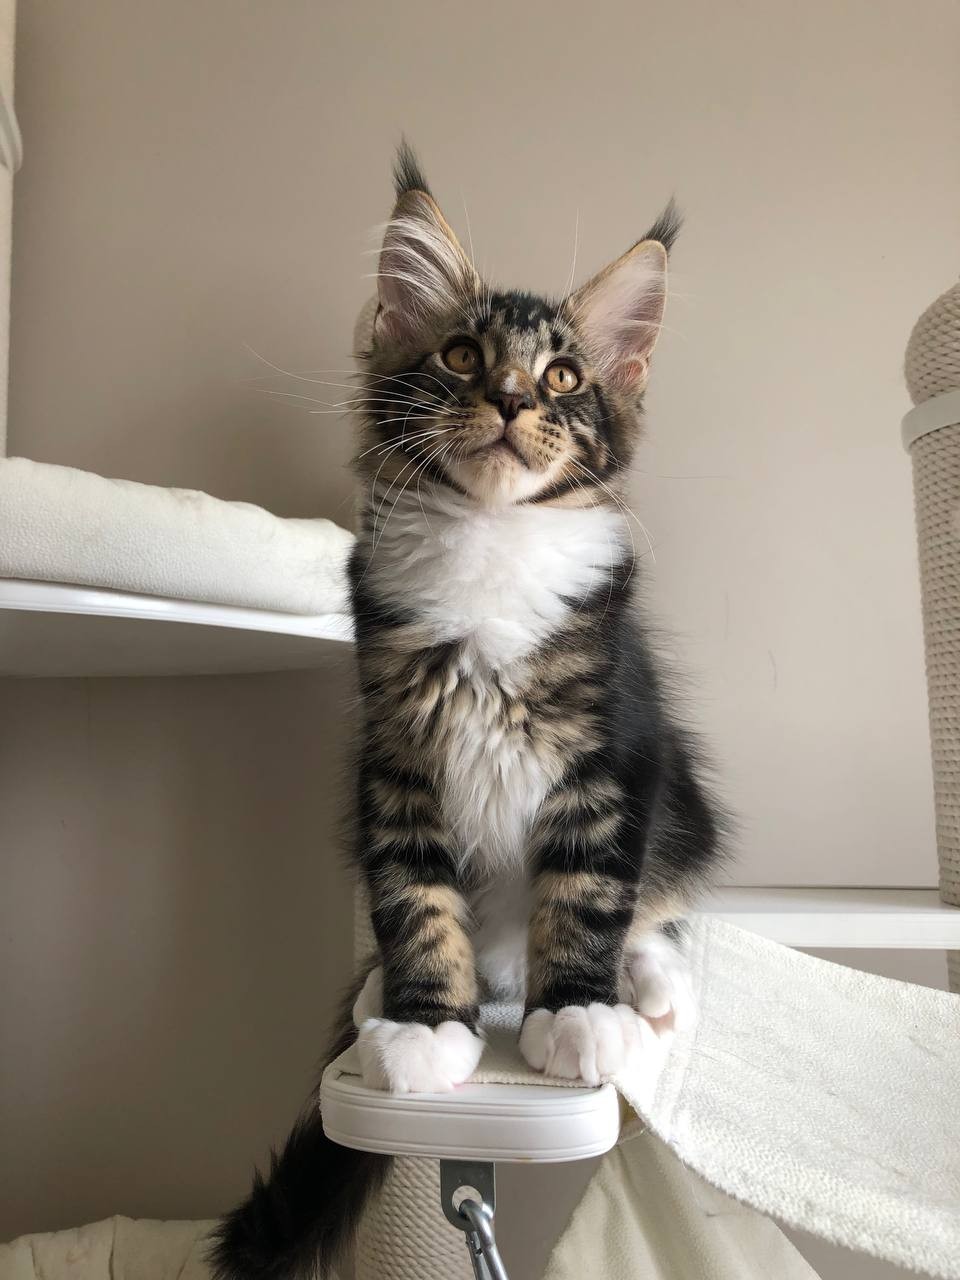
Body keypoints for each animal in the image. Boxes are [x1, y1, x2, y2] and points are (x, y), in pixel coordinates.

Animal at [211, 143, 724, 1280]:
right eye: (458, 355)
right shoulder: (396, 756)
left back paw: (644, 982)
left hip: (684, 806)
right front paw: (422, 1023)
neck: (491, 544)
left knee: (662, 900)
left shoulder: (609, 754)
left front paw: (575, 1015)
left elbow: (588, 890)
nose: (508, 396)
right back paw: (383, 997)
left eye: (563, 377)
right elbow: (415, 898)